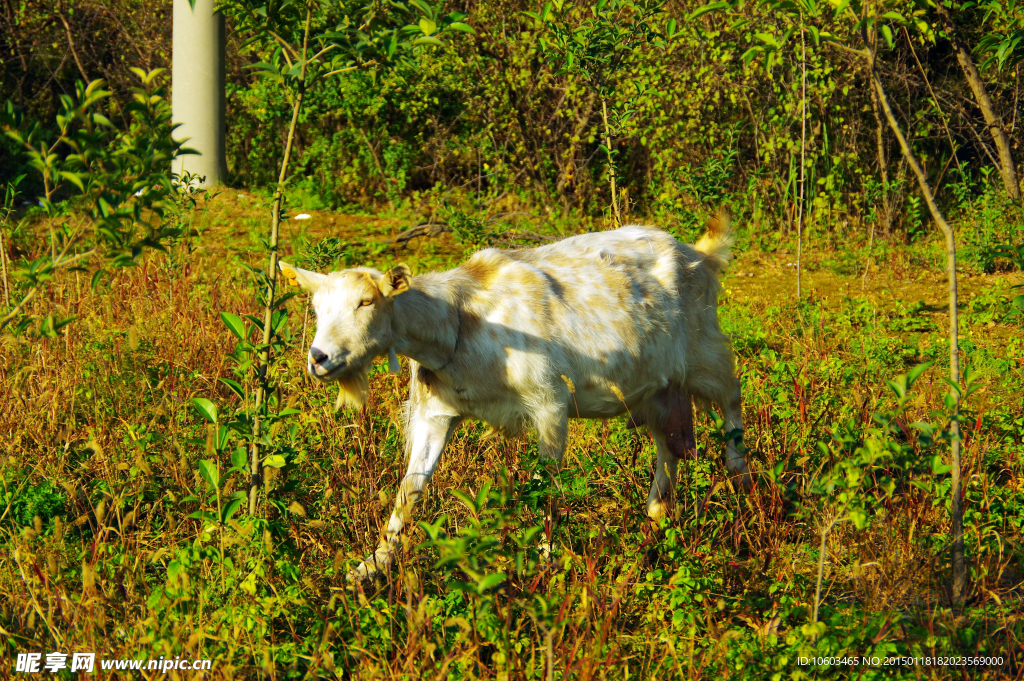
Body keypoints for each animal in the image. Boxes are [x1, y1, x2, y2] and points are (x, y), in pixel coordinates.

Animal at [280, 218, 753, 577]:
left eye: (366, 302)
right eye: (317, 308)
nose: (319, 358)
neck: (459, 321)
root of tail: (700, 255)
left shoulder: (550, 404)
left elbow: (545, 489)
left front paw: (545, 563)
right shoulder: (435, 414)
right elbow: (409, 491)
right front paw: (370, 567)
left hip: (706, 352)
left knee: (732, 397)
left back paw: (744, 485)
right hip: (658, 387)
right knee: (668, 447)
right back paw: (655, 516)